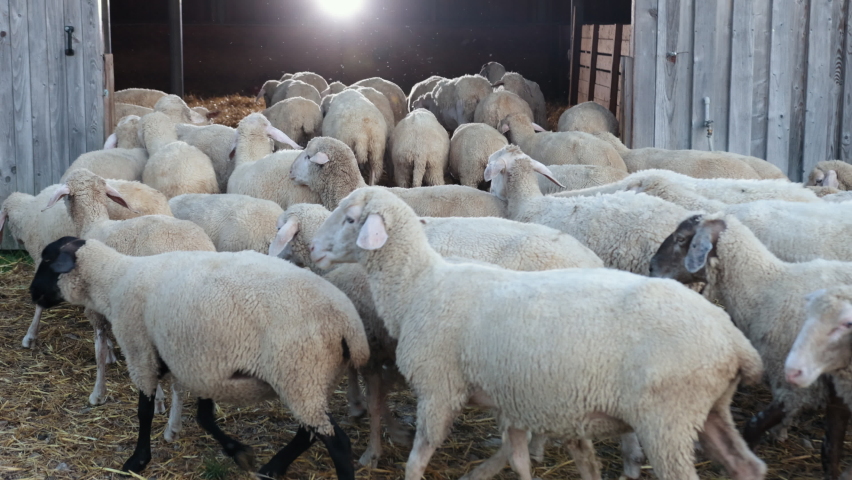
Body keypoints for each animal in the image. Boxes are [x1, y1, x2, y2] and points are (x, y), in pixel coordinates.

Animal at [30, 236, 369, 478]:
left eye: (47, 260)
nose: (32, 293)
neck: (114, 279)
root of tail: (349, 324)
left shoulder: (140, 350)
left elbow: (144, 411)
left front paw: (137, 461)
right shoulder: (204, 364)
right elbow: (204, 417)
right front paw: (238, 452)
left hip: (300, 371)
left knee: (336, 442)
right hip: (311, 378)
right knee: (309, 432)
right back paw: (272, 468)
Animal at [309, 186, 766, 480]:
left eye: (350, 219)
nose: (313, 249)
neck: (419, 285)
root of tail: (734, 343)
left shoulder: (440, 391)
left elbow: (417, 460)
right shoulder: (511, 399)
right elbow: (518, 459)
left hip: (667, 420)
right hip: (708, 411)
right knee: (748, 466)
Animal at [648, 213, 852, 461]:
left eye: (680, 238)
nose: (651, 267)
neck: (764, 289)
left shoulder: (794, 385)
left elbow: (753, 427)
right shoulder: (837, 389)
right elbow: (831, 448)